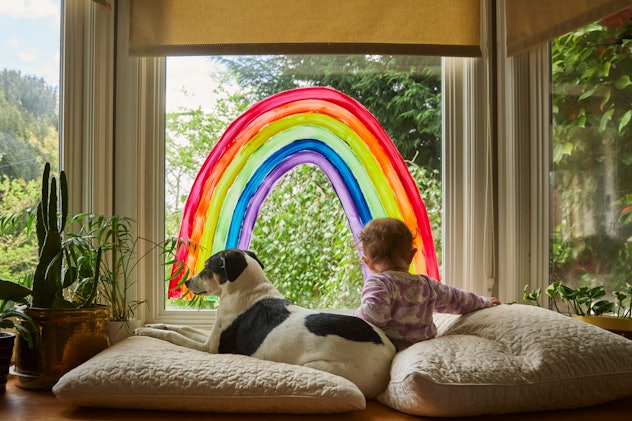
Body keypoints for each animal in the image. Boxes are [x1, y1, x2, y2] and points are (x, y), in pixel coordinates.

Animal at [136, 248, 396, 398]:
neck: (245, 290)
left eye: (207, 267)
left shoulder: (211, 348)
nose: (187, 282)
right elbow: (181, 327)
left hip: (321, 366)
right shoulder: (211, 336)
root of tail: (389, 352)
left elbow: (175, 336)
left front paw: (149, 331)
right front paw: (147, 327)